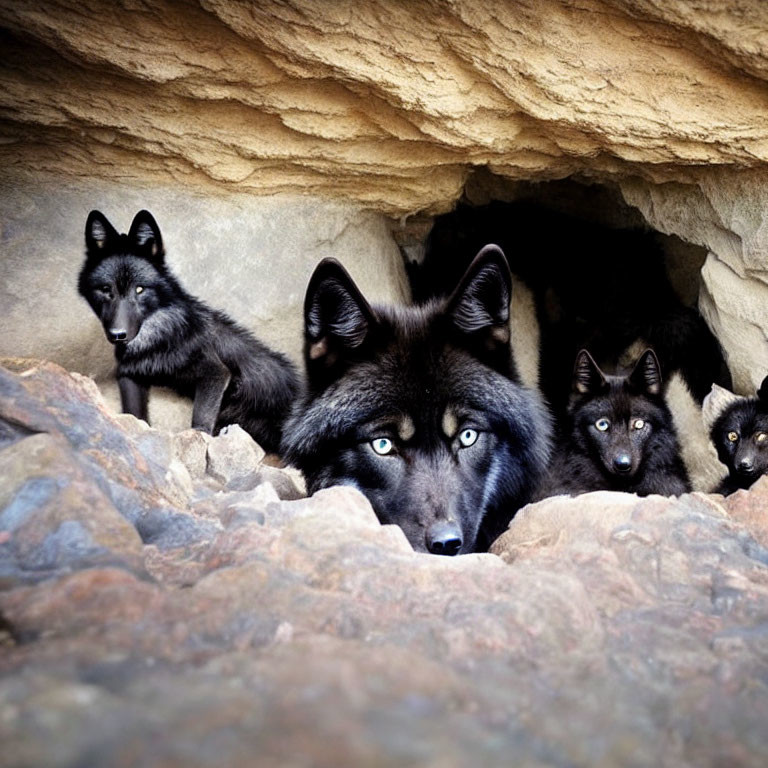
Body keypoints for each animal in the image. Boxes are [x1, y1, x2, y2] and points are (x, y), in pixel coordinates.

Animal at [78, 207, 298, 452]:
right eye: (106, 290)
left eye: (140, 289)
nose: (118, 335)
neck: (156, 340)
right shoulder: (128, 375)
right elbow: (135, 415)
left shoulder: (215, 372)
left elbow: (200, 421)